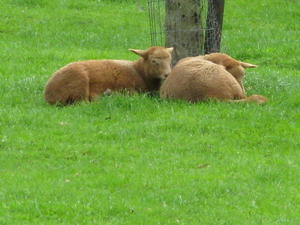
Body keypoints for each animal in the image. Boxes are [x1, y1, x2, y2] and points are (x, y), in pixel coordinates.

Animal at [43, 46, 172, 105]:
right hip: (79, 82)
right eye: (154, 61)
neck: (138, 71)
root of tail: (48, 94)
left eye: (169, 60)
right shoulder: (128, 88)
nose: (167, 75)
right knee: (82, 102)